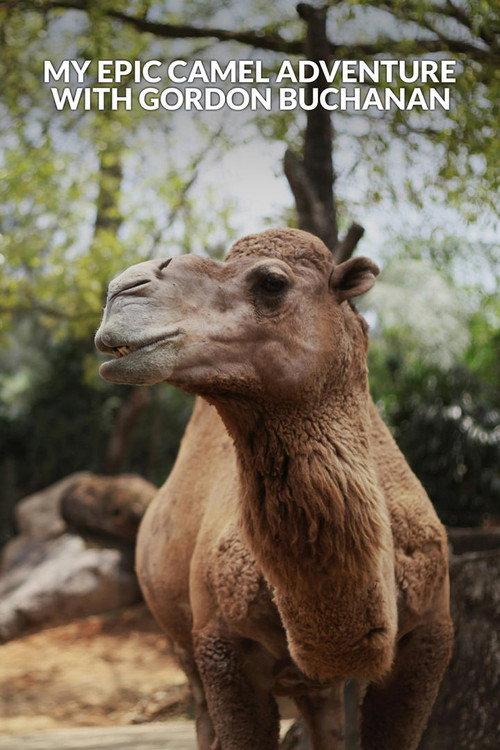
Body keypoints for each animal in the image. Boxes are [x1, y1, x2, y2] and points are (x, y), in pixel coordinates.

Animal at [95, 228, 453, 750]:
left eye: (271, 282)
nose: (123, 289)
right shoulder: (220, 647)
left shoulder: (430, 639)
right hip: (181, 644)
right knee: (203, 714)